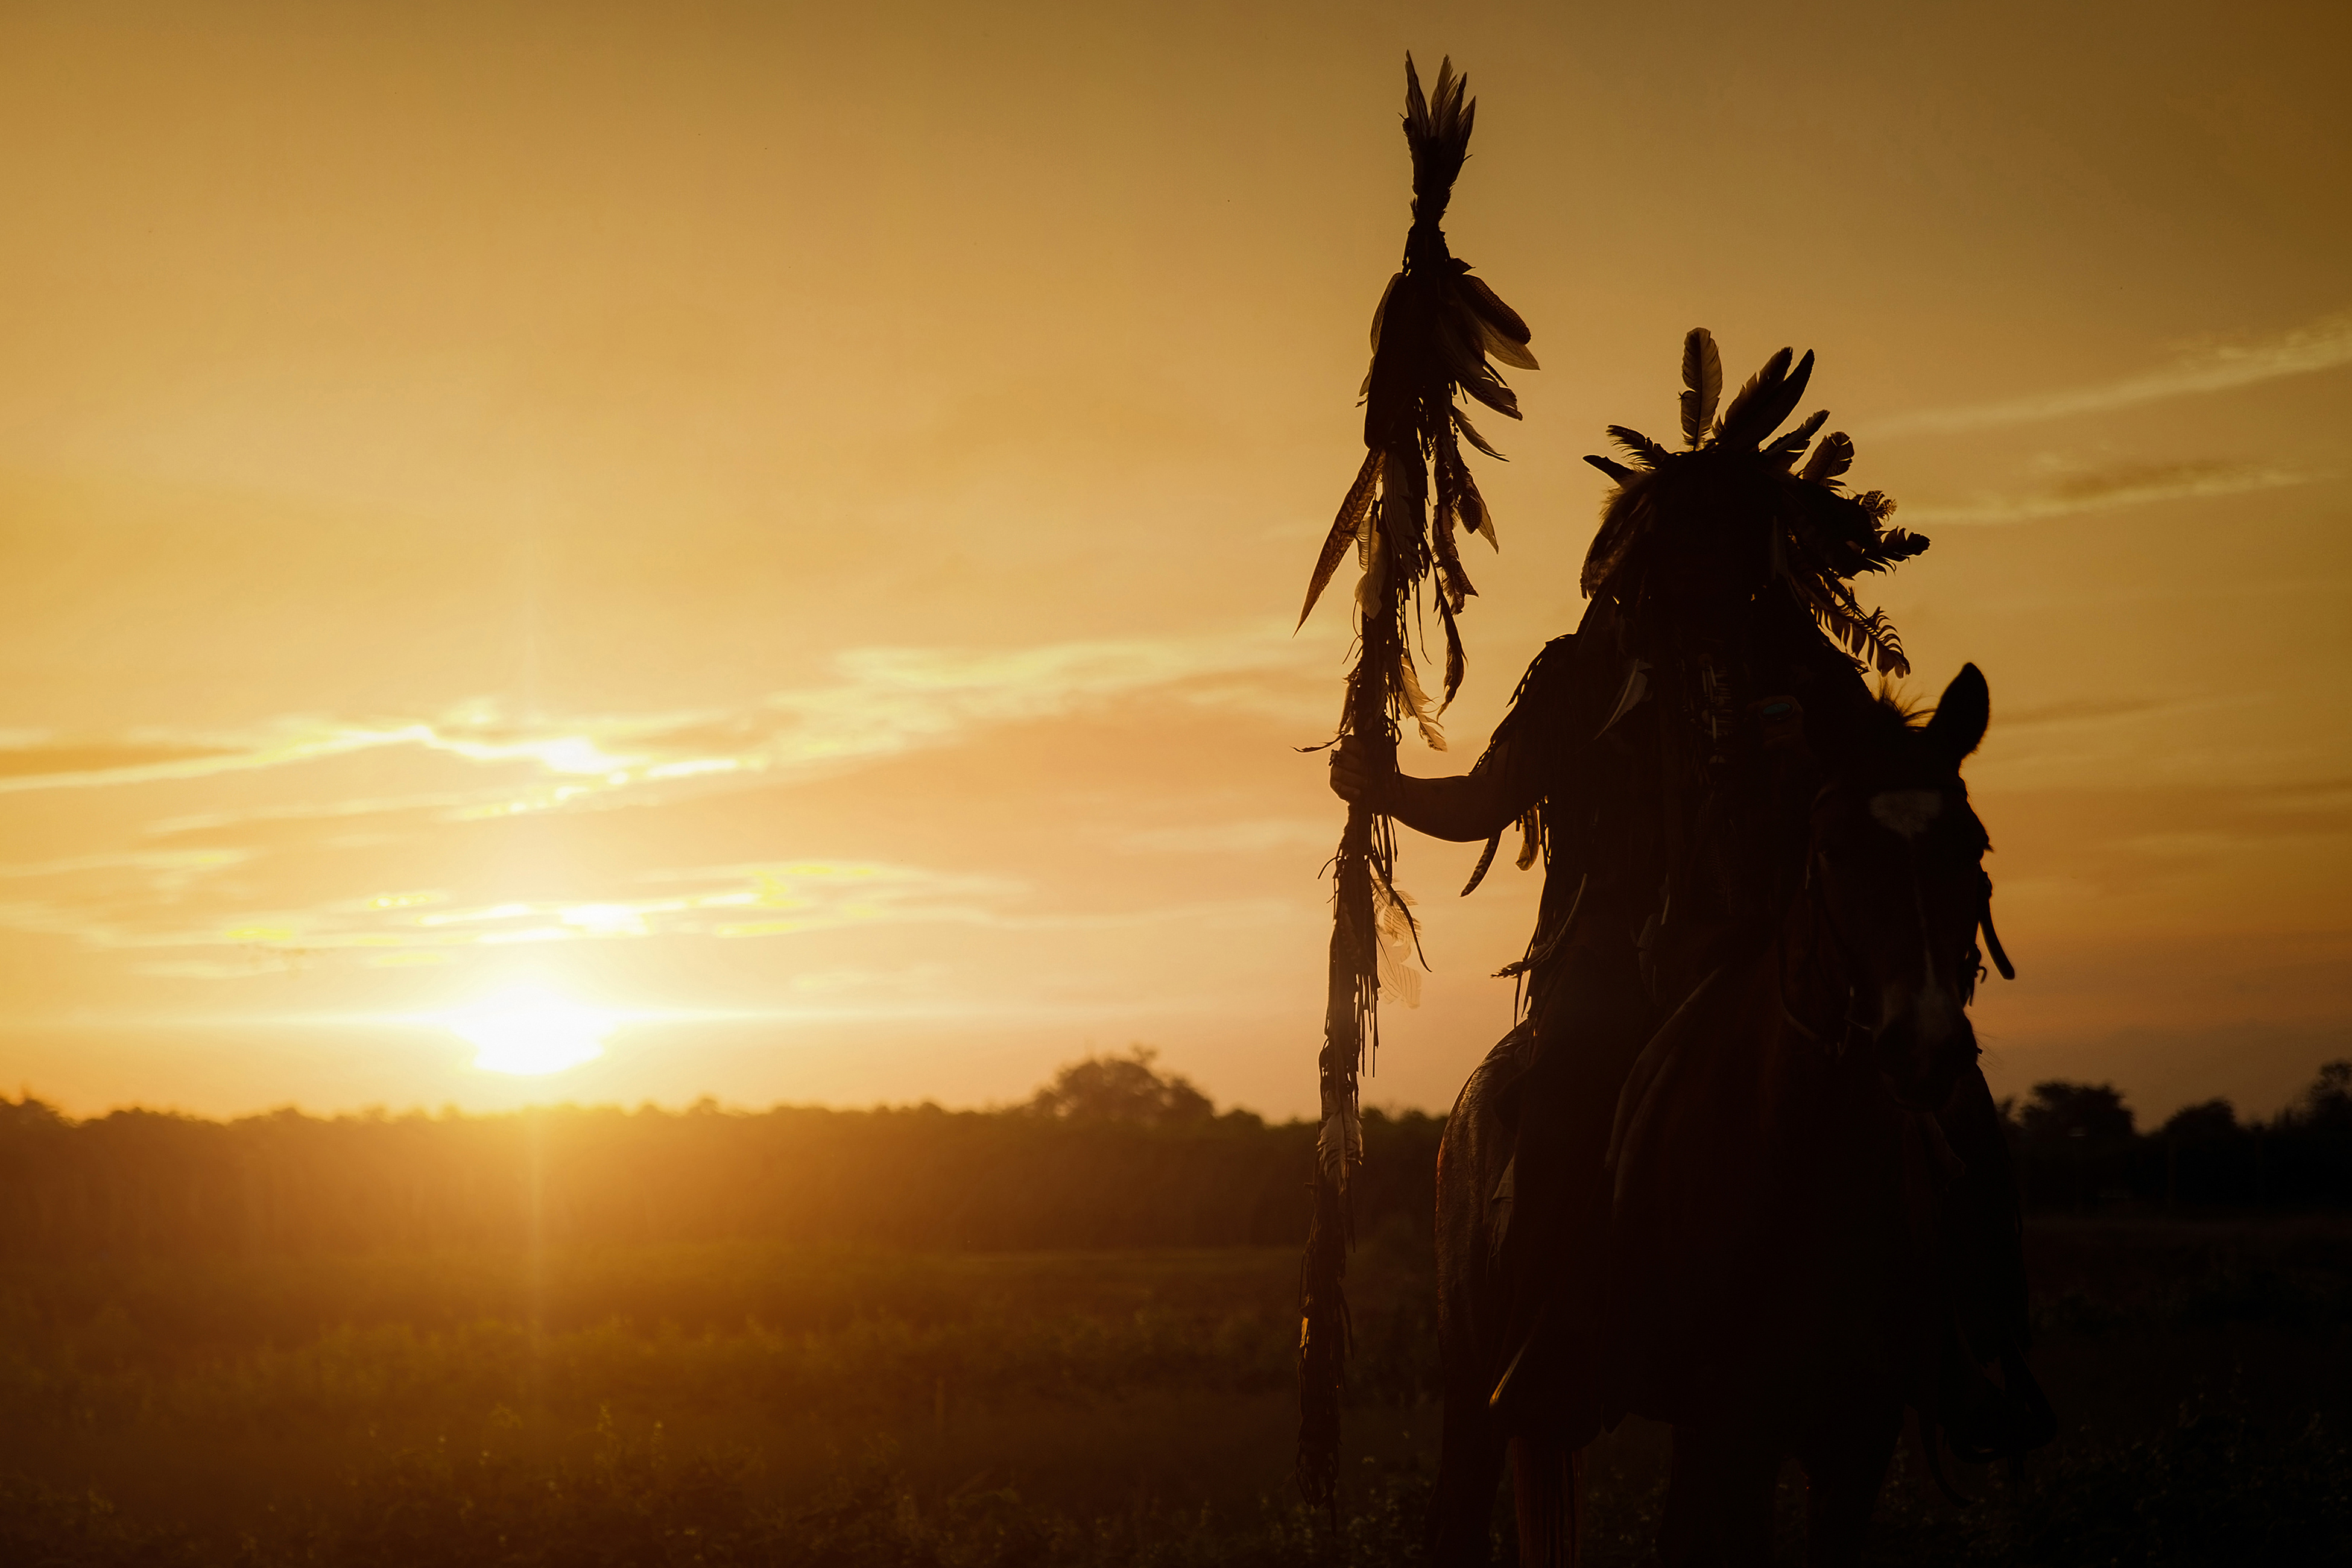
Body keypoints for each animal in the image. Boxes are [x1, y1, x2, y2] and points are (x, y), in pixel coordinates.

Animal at [1420, 668, 2050, 1568]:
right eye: (1835, 849)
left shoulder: (1858, 1436)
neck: (1806, 1165)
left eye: (1972, 848)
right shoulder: (1737, 1430)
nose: (1923, 1047)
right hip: (1477, 1387)